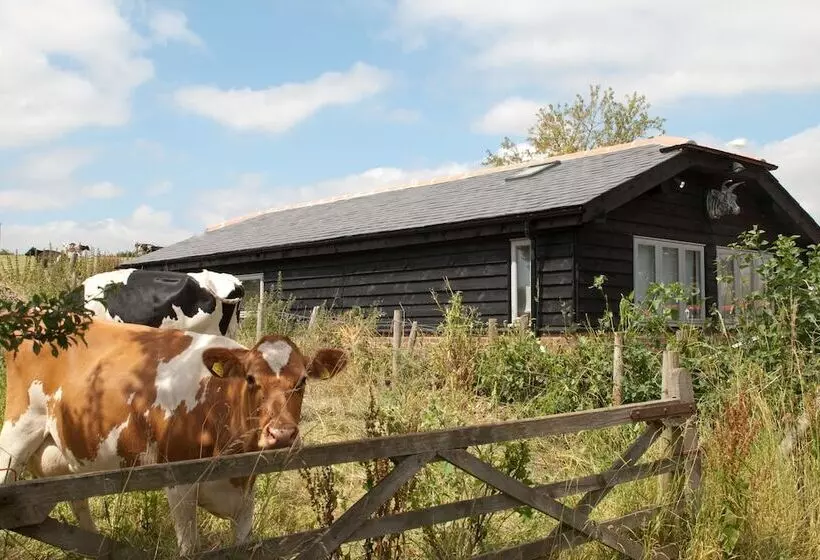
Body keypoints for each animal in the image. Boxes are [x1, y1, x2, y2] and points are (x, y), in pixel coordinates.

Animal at [0, 319, 348, 556]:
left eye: (302, 380)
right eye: (250, 379)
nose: (282, 434)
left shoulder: (247, 490)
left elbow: (245, 544)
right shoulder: (178, 481)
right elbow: (190, 549)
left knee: (78, 498)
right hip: (16, 434)